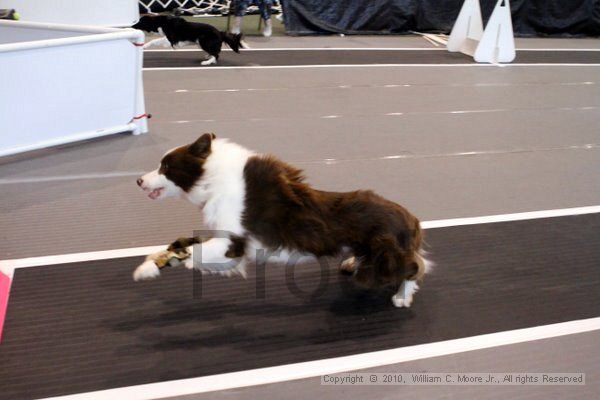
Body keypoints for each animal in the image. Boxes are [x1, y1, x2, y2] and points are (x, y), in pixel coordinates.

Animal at [135, 134, 432, 306]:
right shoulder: (226, 242)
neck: (212, 179)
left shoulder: (234, 243)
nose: (138, 180)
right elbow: (179, 245)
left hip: (385, 255)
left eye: (165, 167)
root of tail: (411, 218)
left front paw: (154, 267)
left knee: (414, 267)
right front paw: (149, 265)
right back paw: (351, 262)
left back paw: (402, 296)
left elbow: (192, 252)